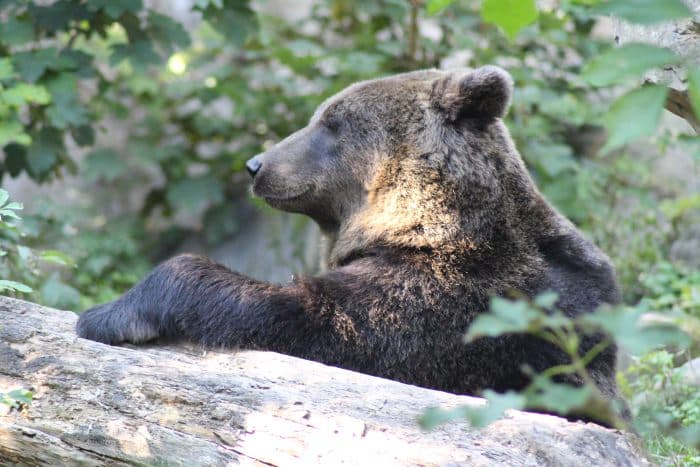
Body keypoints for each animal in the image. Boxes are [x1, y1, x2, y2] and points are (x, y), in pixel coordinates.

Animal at [77, 66, 623, 423]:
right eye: (319, 117)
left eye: (330, 125)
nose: (257, 165)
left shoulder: (449, 304)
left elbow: (311, 317)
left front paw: (110, 312)